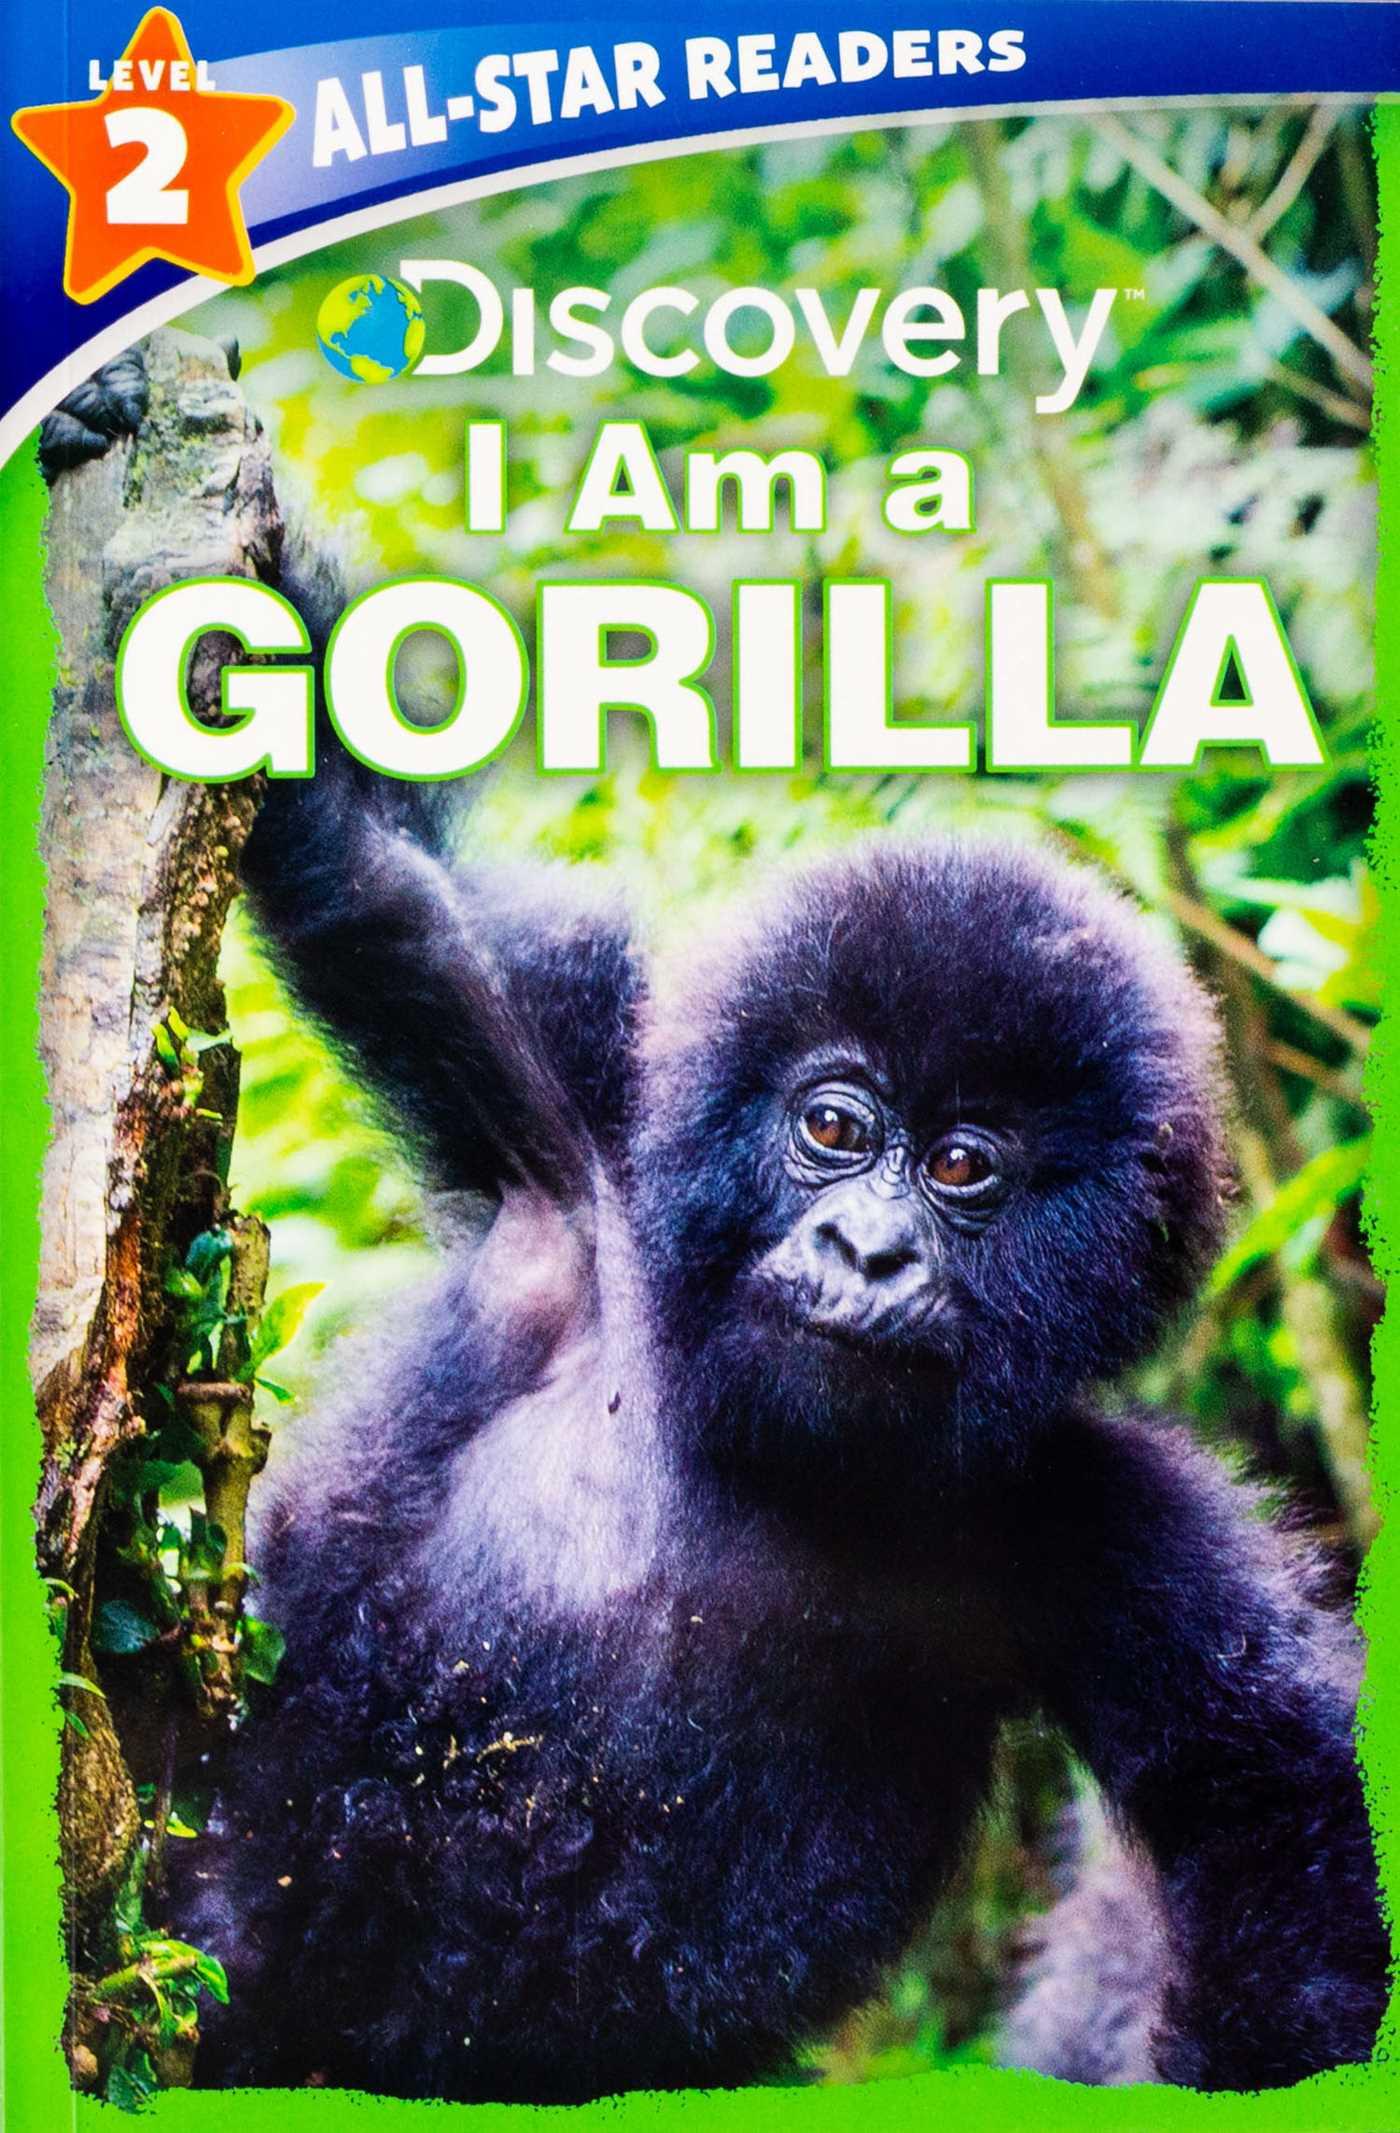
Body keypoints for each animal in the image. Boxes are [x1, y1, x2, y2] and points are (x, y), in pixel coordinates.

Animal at [40, 352, 1387, 2102]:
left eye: (965, 1168)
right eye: (834, 1131)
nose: (868, 1253)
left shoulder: (1102, 1518)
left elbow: (1283, 1836)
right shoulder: (584, 1135)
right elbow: (379, 871)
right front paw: (119, 416)